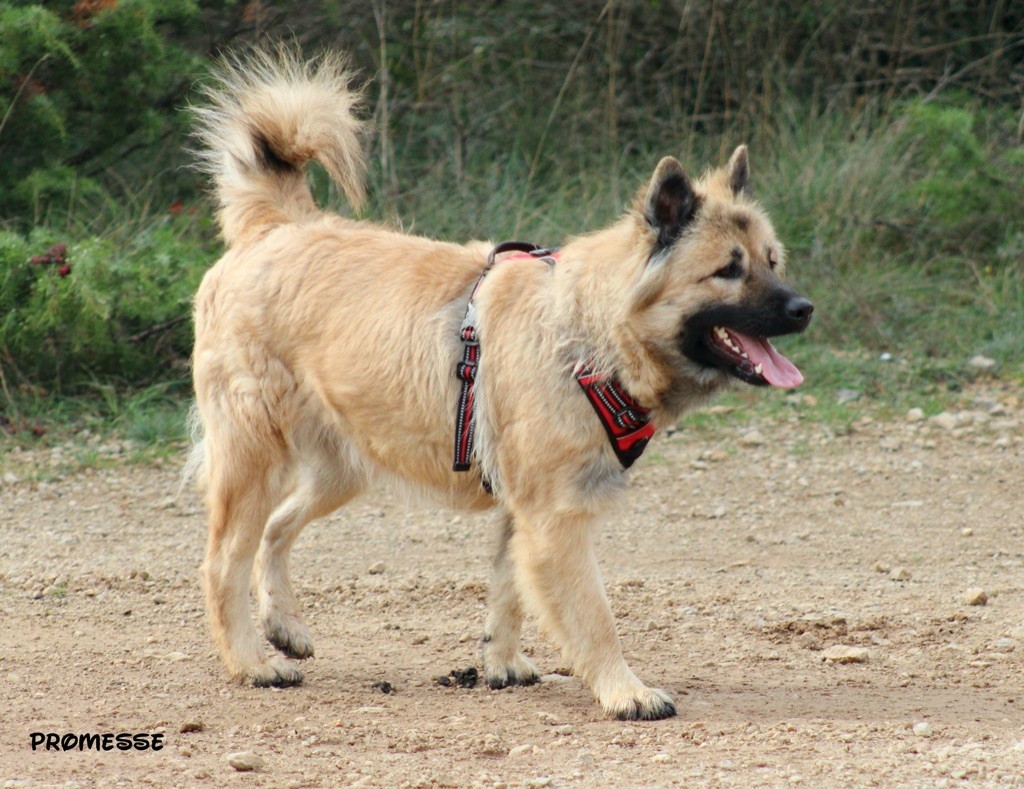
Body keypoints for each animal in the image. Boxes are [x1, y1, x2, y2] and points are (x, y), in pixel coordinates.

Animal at [188, 46, 811, 720]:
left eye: (772, 261)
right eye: (728, 270)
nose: (804, 309)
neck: (588, 330)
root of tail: (276, 226)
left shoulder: (526, 514)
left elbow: (508, 592)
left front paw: (502, 662)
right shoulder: (556, 518)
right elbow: (594, 618)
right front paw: (626, 691)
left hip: (344, 464)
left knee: (275, 531)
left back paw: (285, 628)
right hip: (254, 457)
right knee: (224, 562)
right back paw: (251, 663)